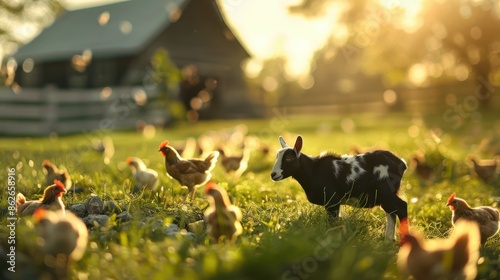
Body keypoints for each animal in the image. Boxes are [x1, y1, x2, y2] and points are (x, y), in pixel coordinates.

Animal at [272, 136, 408, 241]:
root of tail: (402, 163)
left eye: (288, 158)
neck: (314, 170)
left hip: (385, 191)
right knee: (391, 213)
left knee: (402, 207)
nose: (273, 174)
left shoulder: (332, 200)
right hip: (384, 196)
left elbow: (332, 224)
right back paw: (388, 241)